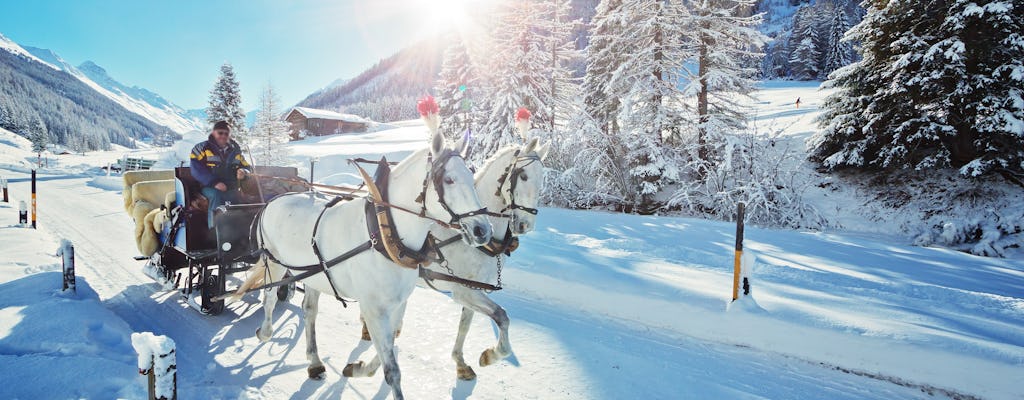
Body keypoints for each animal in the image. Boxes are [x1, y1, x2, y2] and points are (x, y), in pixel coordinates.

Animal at [243, 126, 491, 398]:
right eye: (449, 180)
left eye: (472, 177)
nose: (483, 230)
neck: (383, 235)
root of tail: (272, 201)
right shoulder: (374, 308)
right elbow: (392, 370)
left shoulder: (395, 305)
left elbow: (389, 348)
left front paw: (359, 368)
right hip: (274, 263)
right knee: (268, 298)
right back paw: (265, 332)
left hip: (314, 275)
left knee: (309, 311)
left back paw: (314, 361)